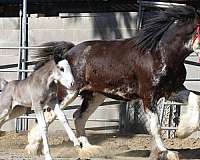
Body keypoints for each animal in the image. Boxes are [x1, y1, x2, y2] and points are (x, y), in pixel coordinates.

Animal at [30, 6, 200, 160]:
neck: (161, 54)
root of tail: (67, 54)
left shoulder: (172, 90)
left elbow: (195, 99)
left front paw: (183, 131)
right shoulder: (148, 96)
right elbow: (155, 126)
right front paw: (166, 152)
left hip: (95, 95)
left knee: (78, 117)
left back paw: (89, 150)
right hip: (68, 93)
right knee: (49, 115)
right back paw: (34, 147)